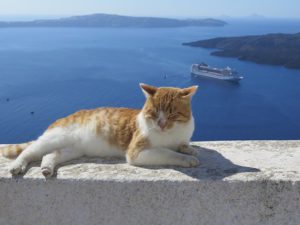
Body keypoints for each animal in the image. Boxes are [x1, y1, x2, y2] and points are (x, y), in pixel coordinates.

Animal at [0, 83, 199, 178]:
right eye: (154, 112)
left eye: (172, 114)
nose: (161, 124)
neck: (172, 134)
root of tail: (63, 117)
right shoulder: (136, 151)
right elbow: (167, 152)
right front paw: (187, 159)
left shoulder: (182, 137)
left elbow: (182, 145)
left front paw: (189, 149)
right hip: (53, 139)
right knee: (28, 151)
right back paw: (17, 166)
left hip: (73, 149)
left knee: (50, 155)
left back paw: (47, 169)